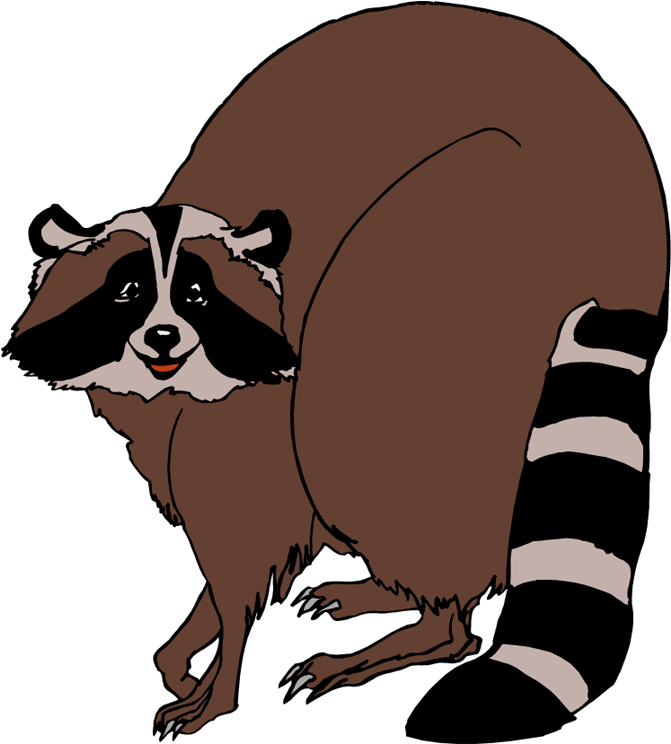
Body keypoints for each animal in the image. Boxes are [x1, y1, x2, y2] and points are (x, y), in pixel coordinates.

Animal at [12, 6, 666, 734]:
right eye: (128, 291)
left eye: (195, 296)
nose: (163, 337)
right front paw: (193, 642)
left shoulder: (251, 419)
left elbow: (246, 537)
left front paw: (221, 683)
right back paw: (392, 595)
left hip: (463, 256)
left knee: (355, 441)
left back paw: (430, 629)